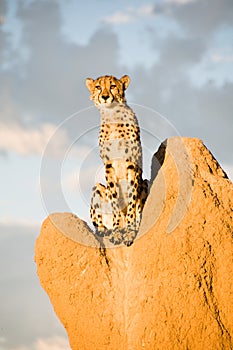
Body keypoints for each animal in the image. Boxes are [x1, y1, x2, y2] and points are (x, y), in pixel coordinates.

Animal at [85, 74, 147, 245]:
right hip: (97, 189)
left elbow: (132, 200)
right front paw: (118, 230)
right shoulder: (109, 167)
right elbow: (114, 201)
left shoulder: (132, 165)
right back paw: (105, 230)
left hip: (145, 184)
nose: (105, 96)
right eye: (98, 87)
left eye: (113, 86)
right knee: (99, 223)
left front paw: (130, 230)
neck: (112, 115)